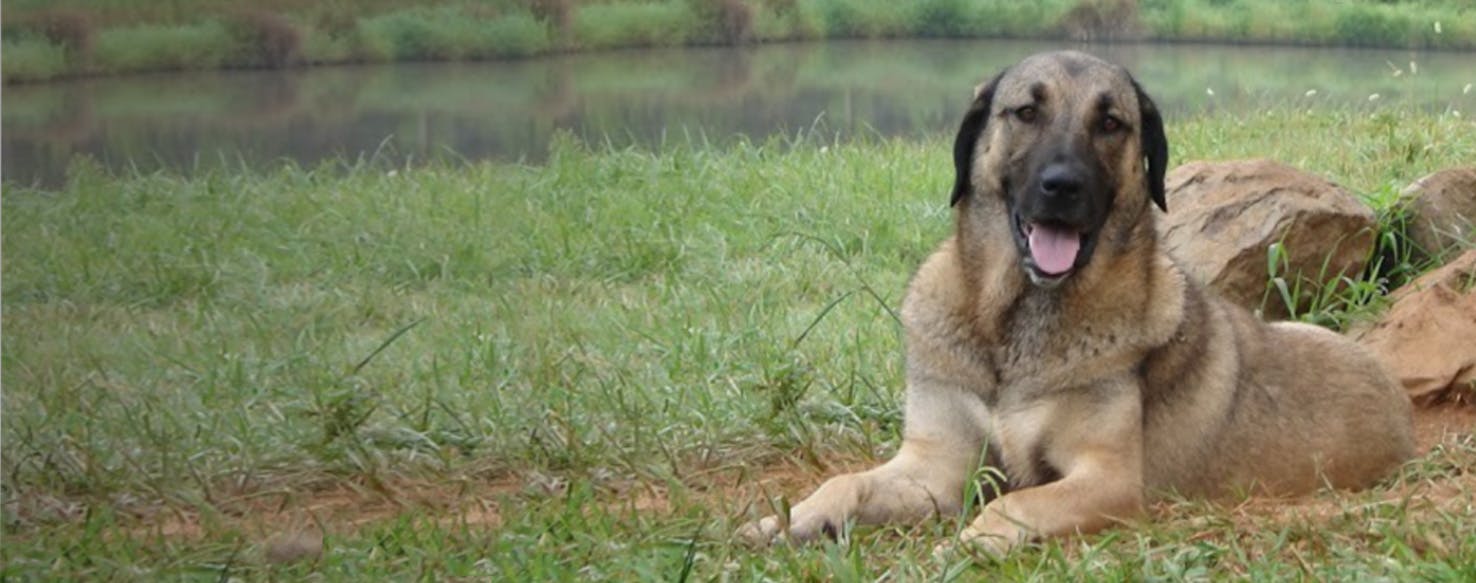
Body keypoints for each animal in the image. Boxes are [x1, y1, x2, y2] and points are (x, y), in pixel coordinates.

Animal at [738, 51, 1416, 557]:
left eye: (1111, 122)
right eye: (1025, 112)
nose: (1061, 186)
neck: (1014, 327)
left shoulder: (1106, 480)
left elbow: (1014, 503)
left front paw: (969, 542)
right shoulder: (936, 464)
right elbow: (845, 482)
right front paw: (790, 519)